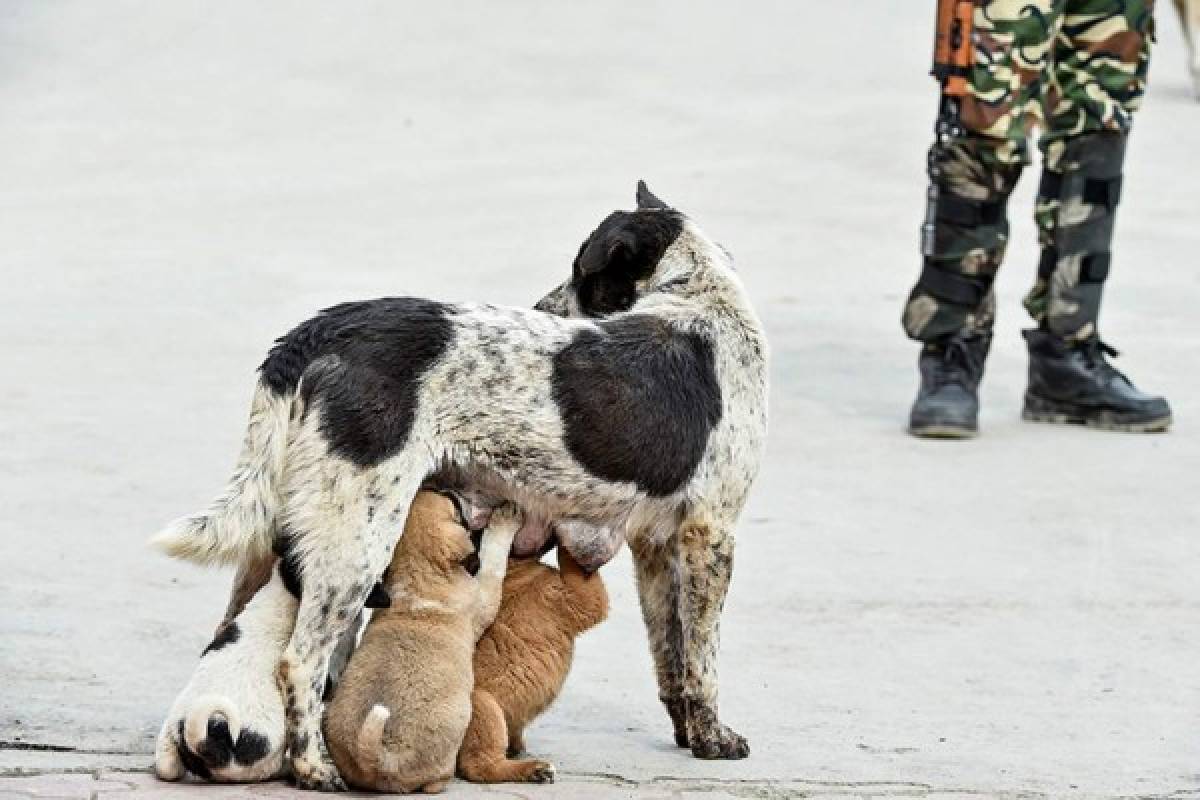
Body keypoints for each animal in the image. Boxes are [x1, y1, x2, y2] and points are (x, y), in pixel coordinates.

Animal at [324, 491, 520, 791]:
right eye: (454, 506)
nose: (451, 490)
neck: (418, 573)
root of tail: (382, 758)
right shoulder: (483, 598)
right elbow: (493, 562)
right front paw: (504, 521)